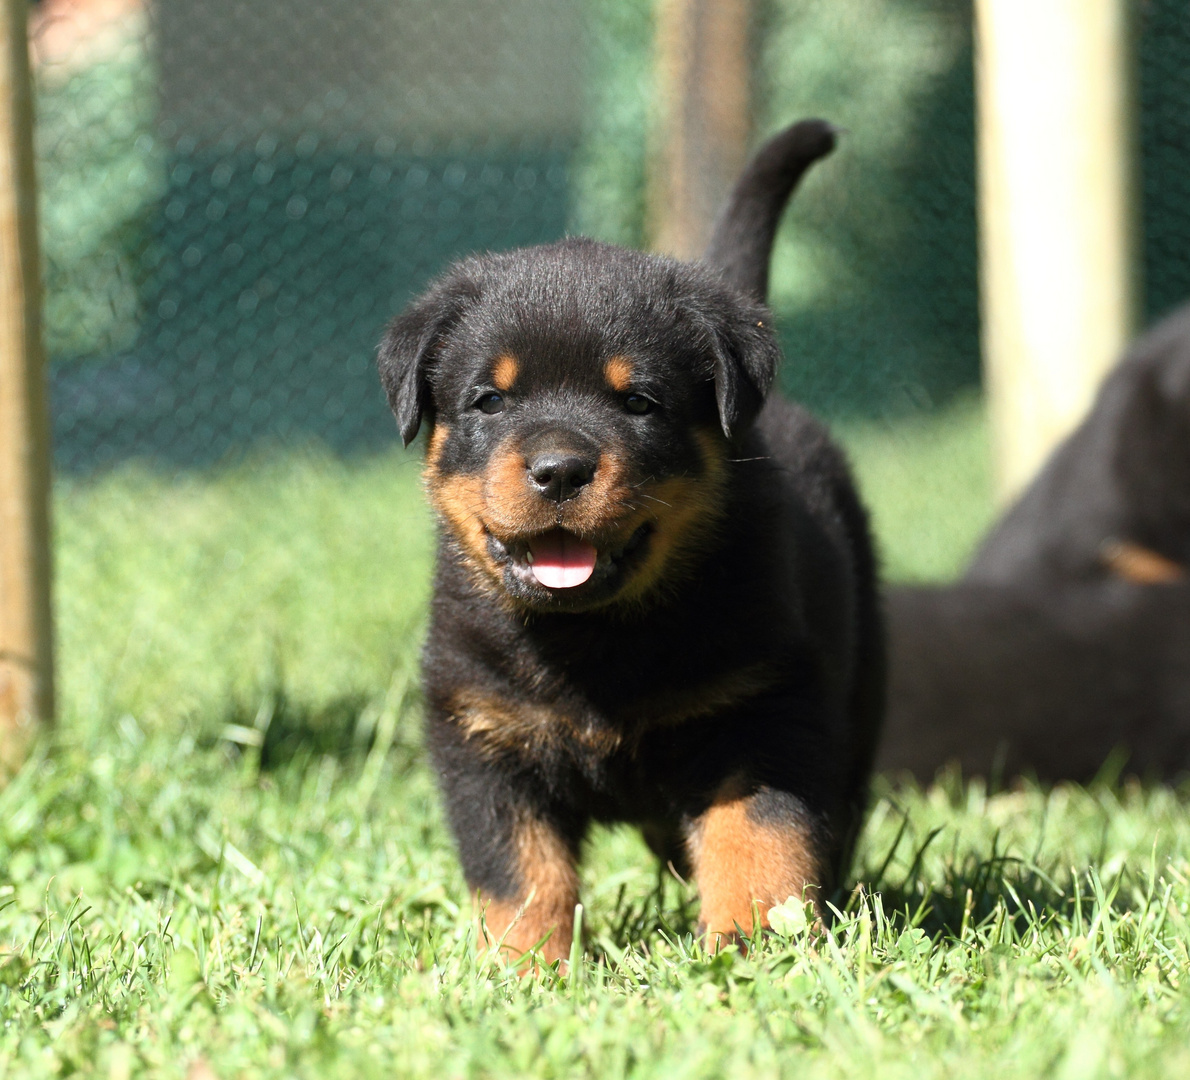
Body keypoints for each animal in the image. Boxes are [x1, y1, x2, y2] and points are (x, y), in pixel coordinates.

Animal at [378, 118, 885, 961]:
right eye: (489, 399)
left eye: (639, 401)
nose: (559, 468)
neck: (594, 640)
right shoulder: (481, 730)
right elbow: (519, 872)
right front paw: (524, 967)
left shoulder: (762, 706)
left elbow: (759, 837)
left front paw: (753, 945)